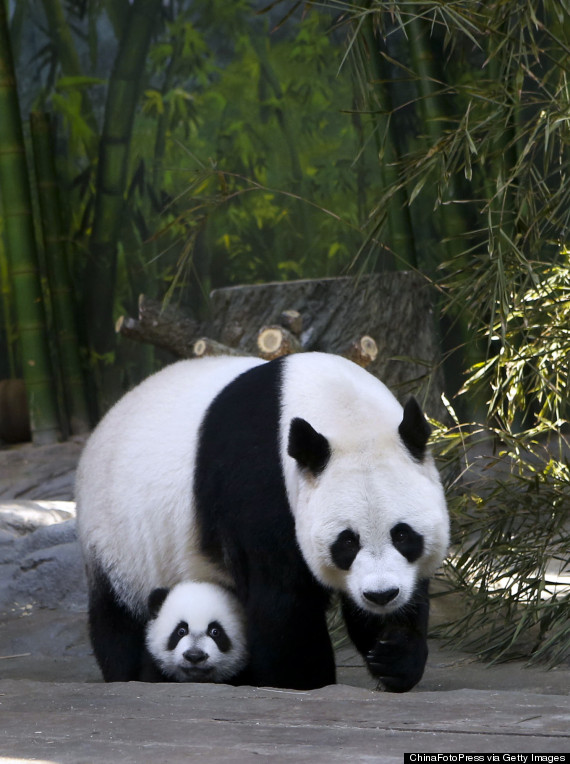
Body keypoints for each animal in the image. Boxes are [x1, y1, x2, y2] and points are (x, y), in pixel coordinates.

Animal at [75, 352, 448, 692]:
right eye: (347, 542)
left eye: (403, 535)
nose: (381, 595)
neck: (343, 412)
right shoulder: (261, 490)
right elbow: (281, 602)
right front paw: (303, 682)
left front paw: (394, 654)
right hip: (117, 536)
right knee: (120, 618)